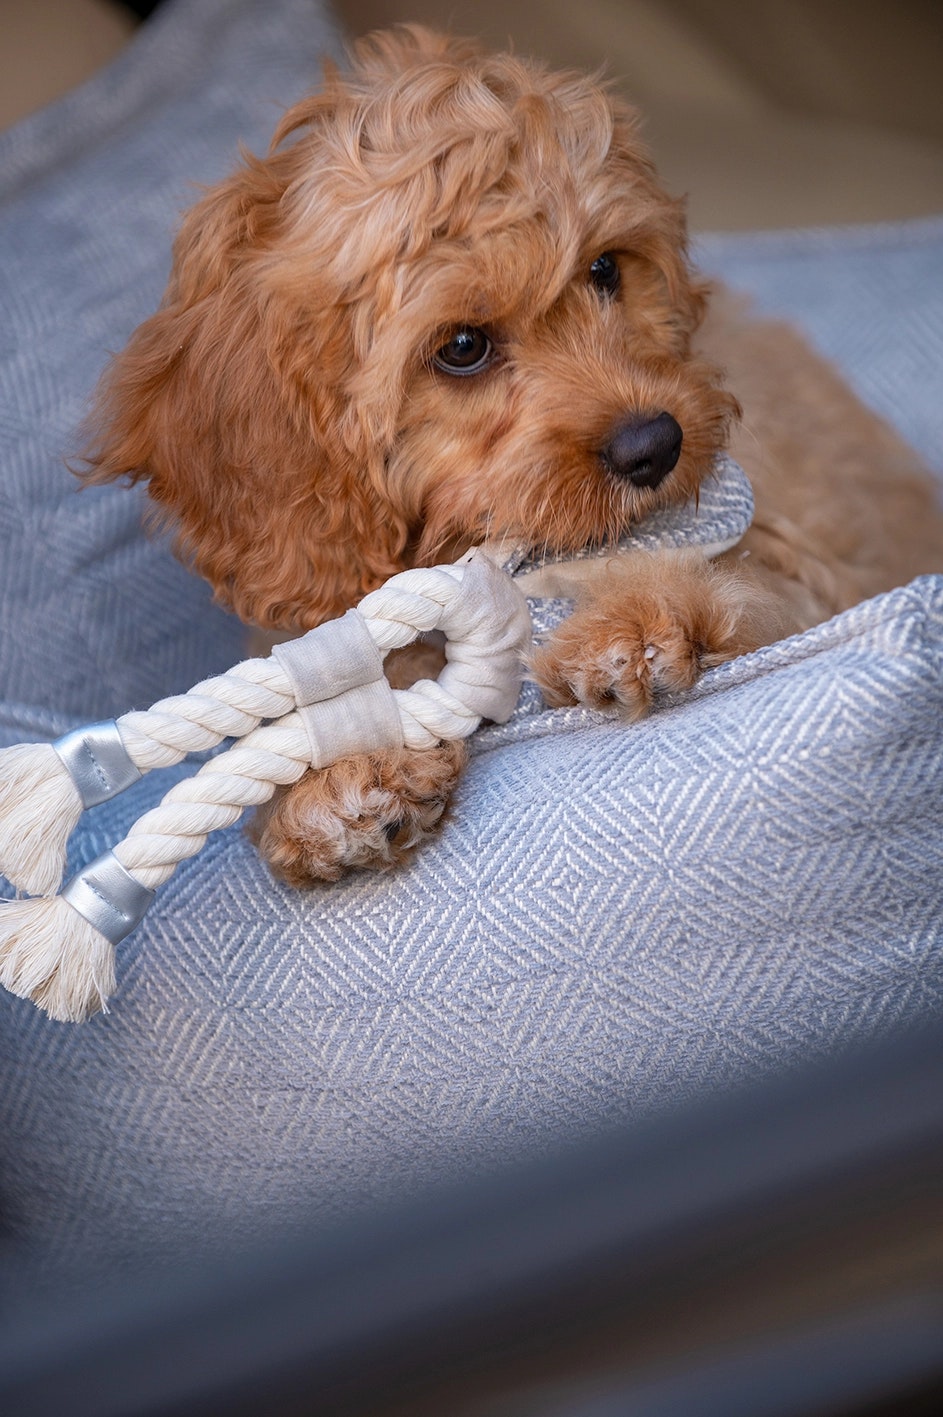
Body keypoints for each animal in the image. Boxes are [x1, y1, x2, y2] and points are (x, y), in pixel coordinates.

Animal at [79, 24, 941, 872]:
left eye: (604, 268)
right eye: (462, 347)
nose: (654, 444)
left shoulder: (810, 561)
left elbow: (750, 579)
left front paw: (640, 612)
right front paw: (343, 768)